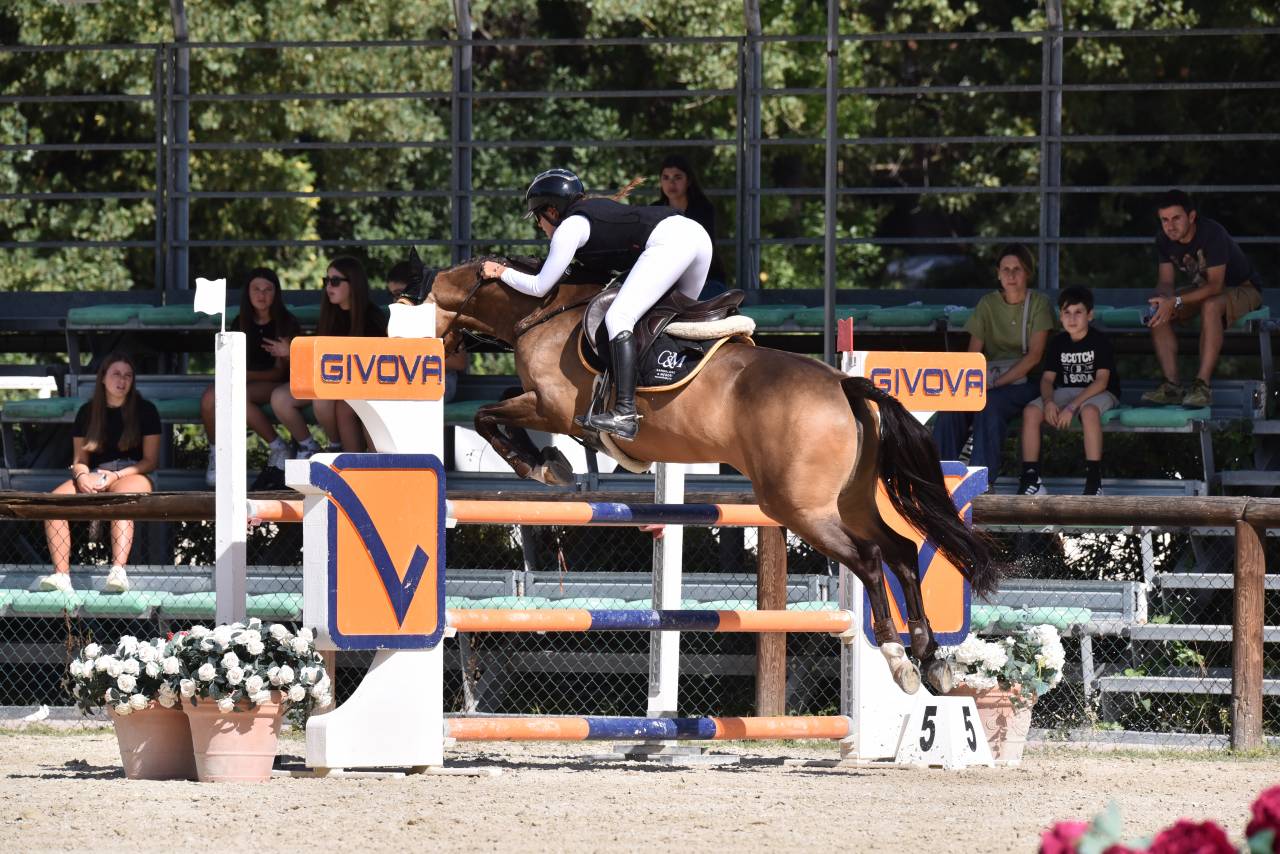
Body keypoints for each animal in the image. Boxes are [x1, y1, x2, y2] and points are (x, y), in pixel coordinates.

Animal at [409, 254, 998, 694]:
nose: (438, 358)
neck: (543, 311)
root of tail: (843, 384)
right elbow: (494, 415)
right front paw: (549, 463)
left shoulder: (551, 407)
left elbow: (490, 416)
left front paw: (543, 465)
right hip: (849, 501)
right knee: (901, 551)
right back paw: (930, 657)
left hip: (802, 509)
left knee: (872, 559)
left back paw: (899, 657)